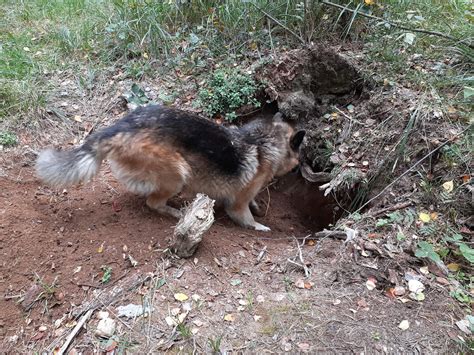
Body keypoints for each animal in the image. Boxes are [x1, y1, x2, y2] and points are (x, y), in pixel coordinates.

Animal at [35, 105, 306, 234]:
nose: (301, 170)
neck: (263, 141)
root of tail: (118, 128)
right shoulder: (237, 204)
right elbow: (245, 217)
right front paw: (258, 227)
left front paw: (258, 206)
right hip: (178, 173)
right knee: (153, 202)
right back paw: (175, 212)